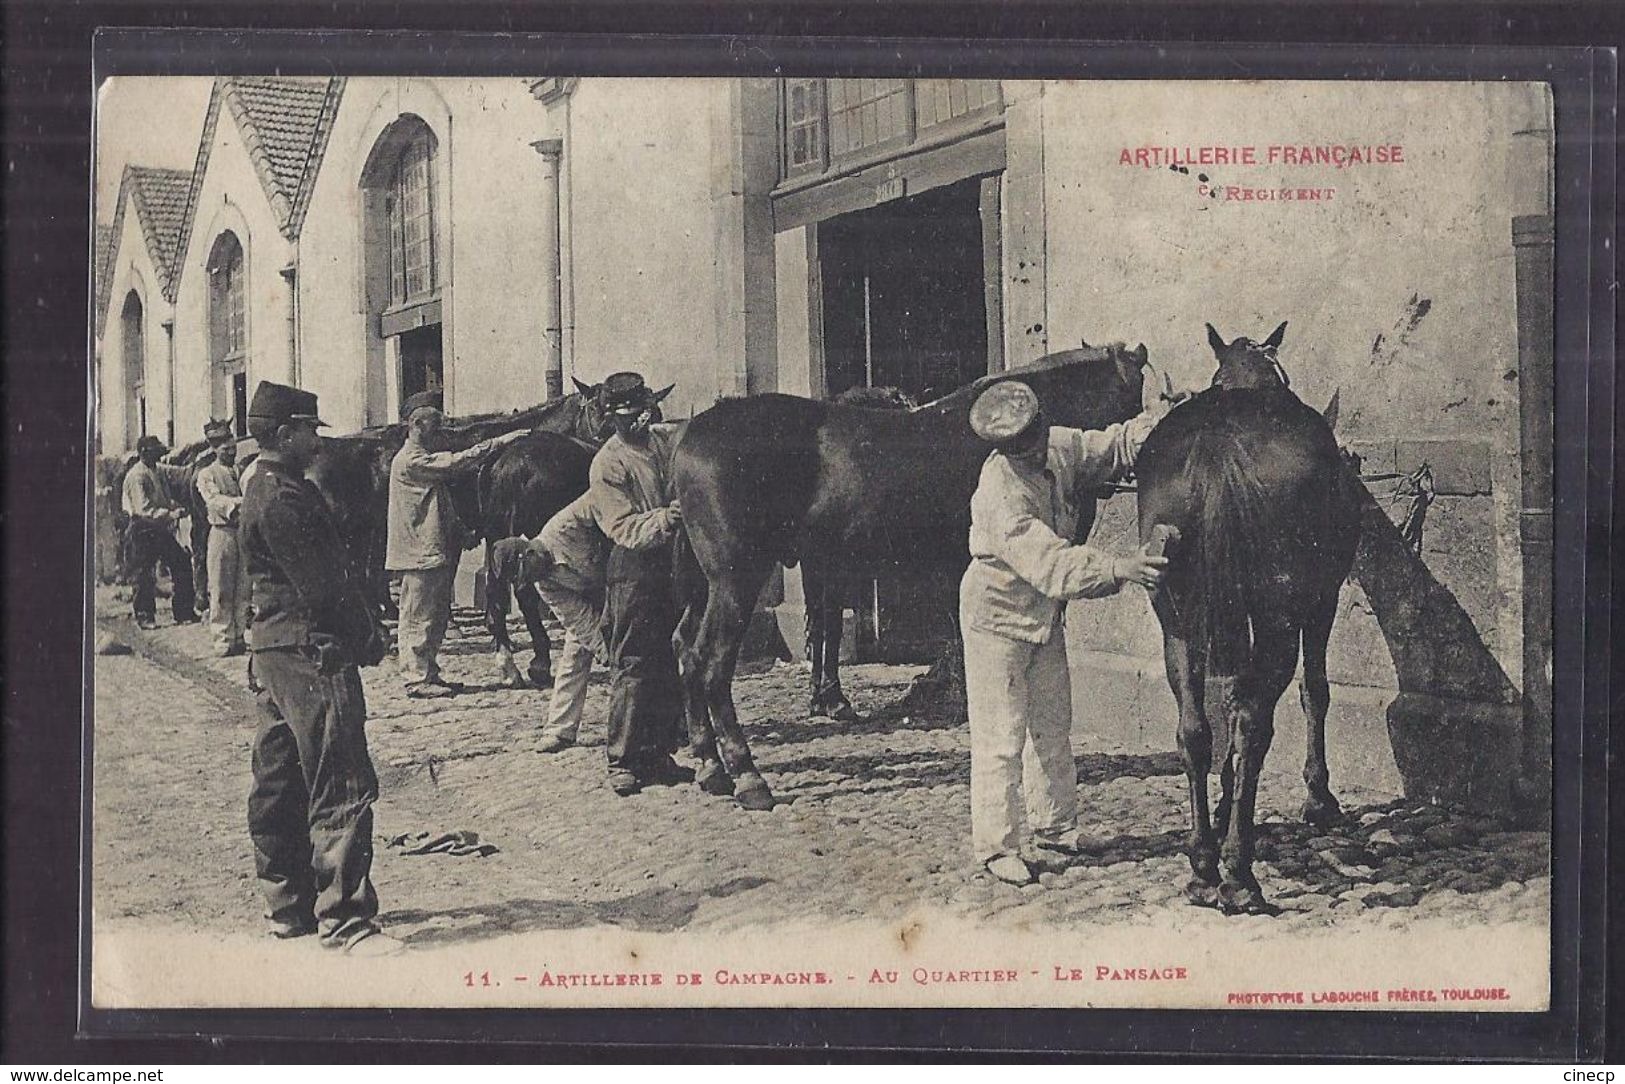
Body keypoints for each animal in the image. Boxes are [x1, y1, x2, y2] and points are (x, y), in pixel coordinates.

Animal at [672, 342, 1157, 809]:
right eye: (1134, 396)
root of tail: (688, 440)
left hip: (706, 587)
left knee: (686, 652)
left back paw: (710, 766)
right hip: (736, 580)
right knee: (712, 664)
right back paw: (747, 776)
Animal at [1137, 321, 1365, 916]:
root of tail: (1220, 442)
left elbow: (1224, 705)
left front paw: (1221, 807)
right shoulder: (1321, 601)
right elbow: (1315, 691)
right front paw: (1318, 797)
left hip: (1175, 621)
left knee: (1195, 729)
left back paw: (1202, 865)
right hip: (1280, 618)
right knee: (1254, 724)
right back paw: (1239, 873)